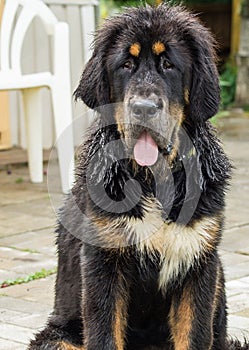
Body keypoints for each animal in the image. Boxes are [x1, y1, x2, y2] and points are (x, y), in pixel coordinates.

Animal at [29, 3, 249, 350]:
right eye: (126, 65)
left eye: (169, 65)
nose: (144, 108)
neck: (152, 181)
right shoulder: (103, 262)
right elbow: (105, 333)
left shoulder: (198, 263)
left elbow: (194, 334)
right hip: (56, 338)